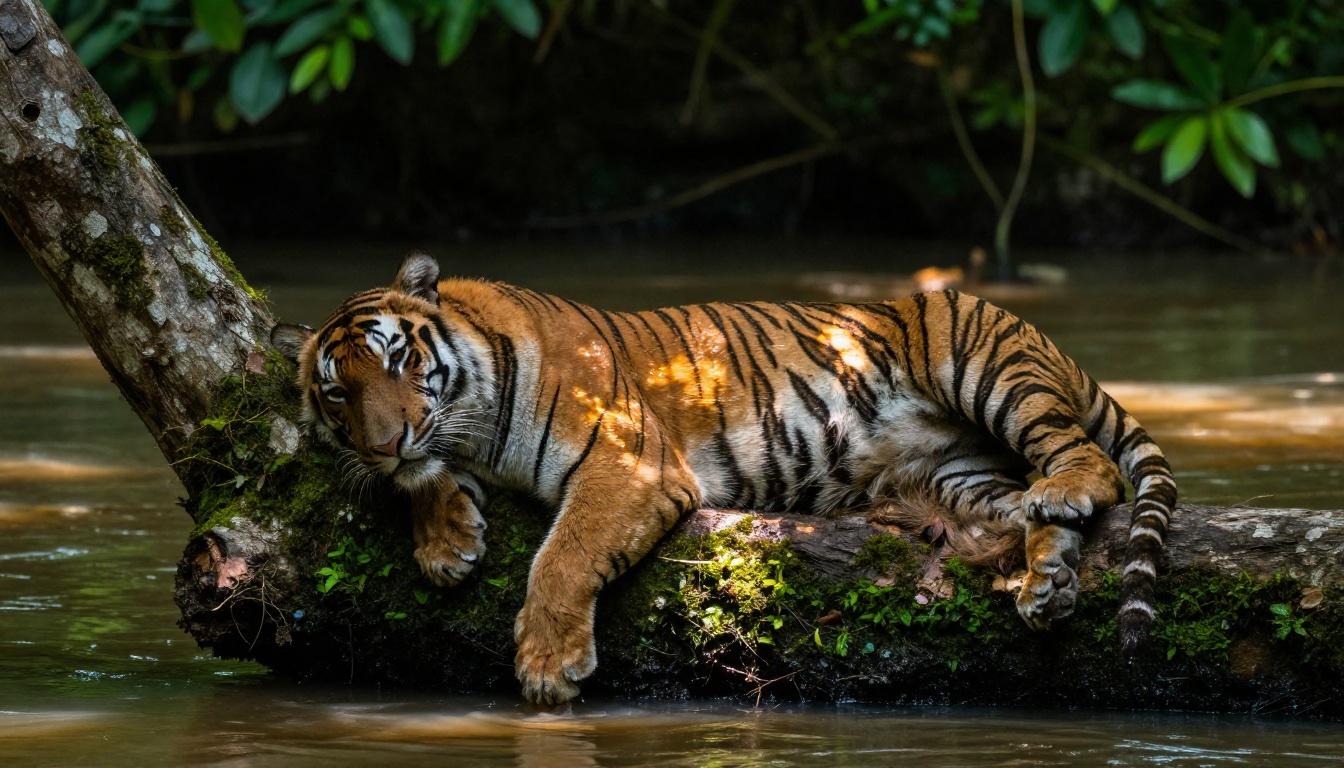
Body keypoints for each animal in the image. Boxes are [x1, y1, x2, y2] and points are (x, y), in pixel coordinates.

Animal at [271, 252, 1175, 705]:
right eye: (337, 392)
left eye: (398, 360)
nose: (386, 440)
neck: (473, 421)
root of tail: (1041, 337)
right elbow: (429, 478)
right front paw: (445, 541)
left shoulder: (629, 460)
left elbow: (563, 555)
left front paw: (547, 664)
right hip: (959, 473)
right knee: (1026, 504)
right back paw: (1048, 581)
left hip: (982, 359)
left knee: (1083, 462)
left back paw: (1064, 504)